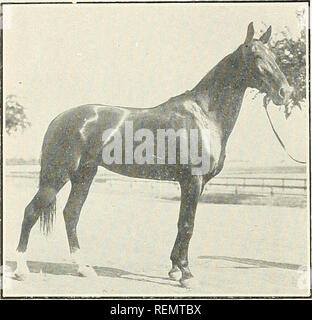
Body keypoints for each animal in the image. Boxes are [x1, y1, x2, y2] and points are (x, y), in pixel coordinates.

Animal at [14, 21, 292, 288]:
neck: (204, 114)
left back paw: (84, 268)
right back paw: (21, 270)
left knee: (71, 214)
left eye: (274, 55)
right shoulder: (193, 180)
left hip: (84, 175)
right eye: (256, 55)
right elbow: (188, 225)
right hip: (58, 175)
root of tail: (59, 119)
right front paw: (187, 274)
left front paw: (174, 269)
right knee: (31, 211)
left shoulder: (194, 184)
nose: (285, 92)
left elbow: (182, 224)